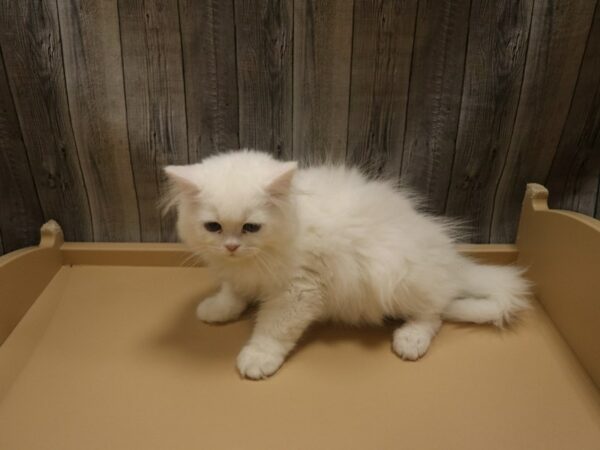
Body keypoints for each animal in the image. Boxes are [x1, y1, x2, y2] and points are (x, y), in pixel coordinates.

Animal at [164, 150, 528, 380]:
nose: (231, 246)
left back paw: (410, 340)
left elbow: (273, 330)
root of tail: (452, 258)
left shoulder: (298, 291)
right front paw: (217, 309)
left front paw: (258, 358)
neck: (293, 219)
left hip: (397, 276)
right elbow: (232, 292)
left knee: (434, 313)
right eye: (213, 227)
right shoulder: (239, 274)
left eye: (251, 227)